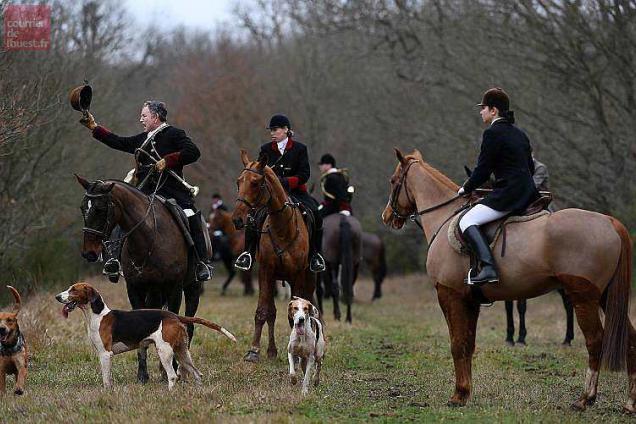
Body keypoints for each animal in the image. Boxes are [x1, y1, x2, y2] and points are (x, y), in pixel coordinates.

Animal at [56, 284, 235, 390]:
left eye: (73, 290)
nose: (57, 297)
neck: (97, 314)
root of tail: (174, 316)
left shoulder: (105, 354)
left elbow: (106, 379)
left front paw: (106, 393)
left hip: (164, 351)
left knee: (172, 375)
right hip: (182, 352)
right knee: (197, 373)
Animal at [76, 176, 201, 384]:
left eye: (101, 209)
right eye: (82, 207)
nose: (89, 253)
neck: (149, 238)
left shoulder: (174, 289)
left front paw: (173, 367)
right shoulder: (135, 288)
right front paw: (142, 374)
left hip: (191, 288)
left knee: (188, 325)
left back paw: (179, 368)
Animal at [231, 151, 316, 362]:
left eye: (255, 183)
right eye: (238, 182)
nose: (237, 219)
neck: (282, 227)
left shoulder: (298, 276)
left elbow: (298, 315)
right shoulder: (266, 272)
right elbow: (264, 311)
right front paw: (254, 351)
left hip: (310, 278)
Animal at [382, 149, 636, 410]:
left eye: (393, 181)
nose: (387, 216)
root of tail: (610, 222)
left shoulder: (449, 295)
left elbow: (457, 343)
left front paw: (458, 395)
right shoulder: (470, 300)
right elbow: (468, 344)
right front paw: (465, 392)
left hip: (584, 297)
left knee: (595, 341)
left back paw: (586, 398)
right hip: (605, 297)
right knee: (630, 338)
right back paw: (629, 403)